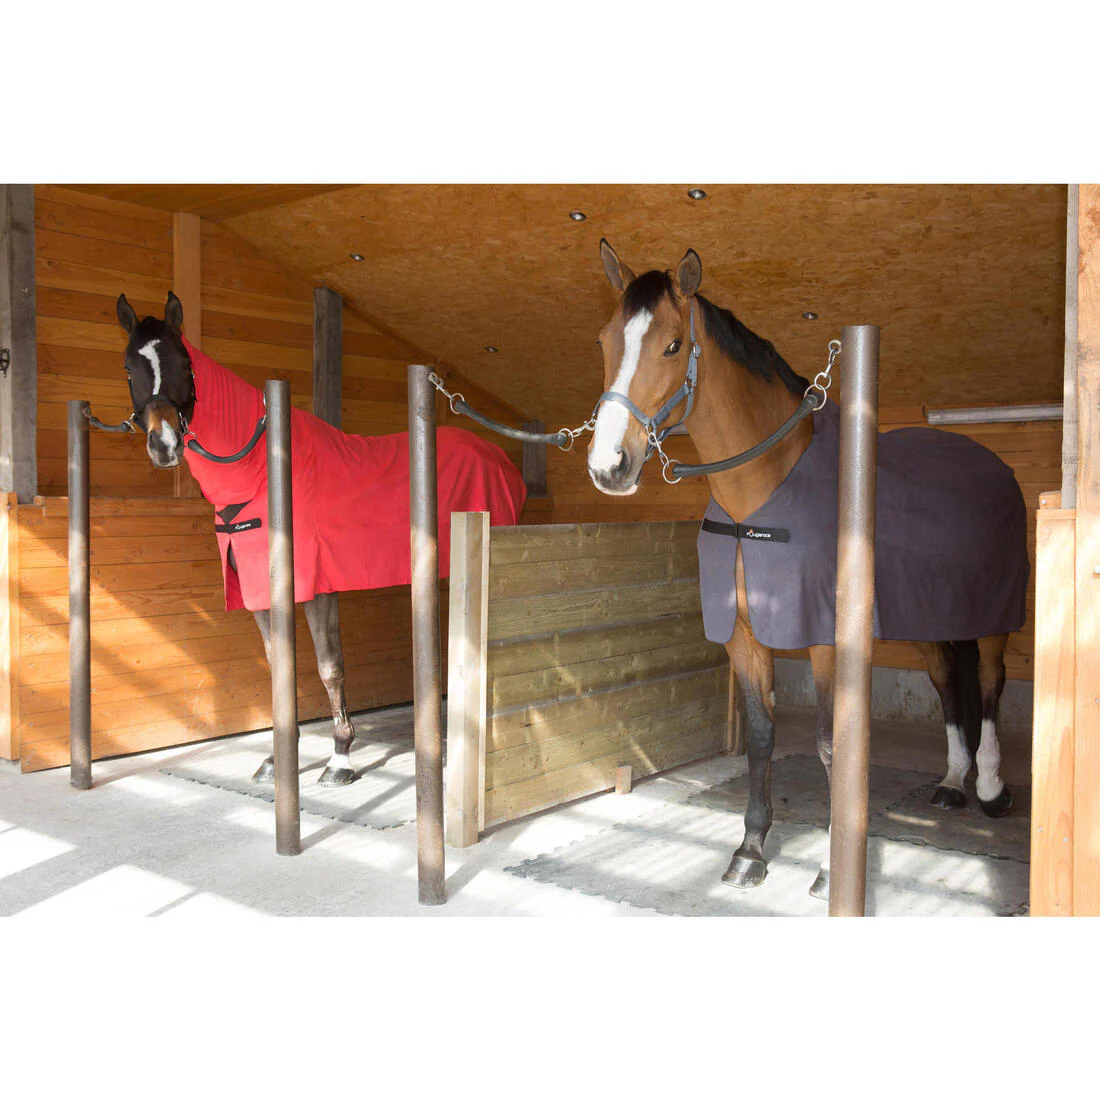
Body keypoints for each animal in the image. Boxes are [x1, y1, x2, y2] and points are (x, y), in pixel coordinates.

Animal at [115, 292, 526, 787]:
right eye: (129, 367)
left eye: (182, 361)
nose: (165, 444)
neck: (266, 471)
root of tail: (501, 459)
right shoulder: (257, 591)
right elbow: (279, 667)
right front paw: (277, 761)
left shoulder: (317, 588)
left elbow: (330, 667)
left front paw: (340, 758)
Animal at [587, 241, 1027, 899]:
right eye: (606, 341)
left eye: (671, 345)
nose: (609, 465)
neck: (762, 494)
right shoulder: (743, 635)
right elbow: (762, 734)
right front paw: (750, 852)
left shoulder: (825, 639)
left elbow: (831, 745)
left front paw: (829, 867)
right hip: (928, 621)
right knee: (948, 682)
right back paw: (952, 783)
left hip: (995, 616)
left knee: (994, 684)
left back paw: (994, 791)